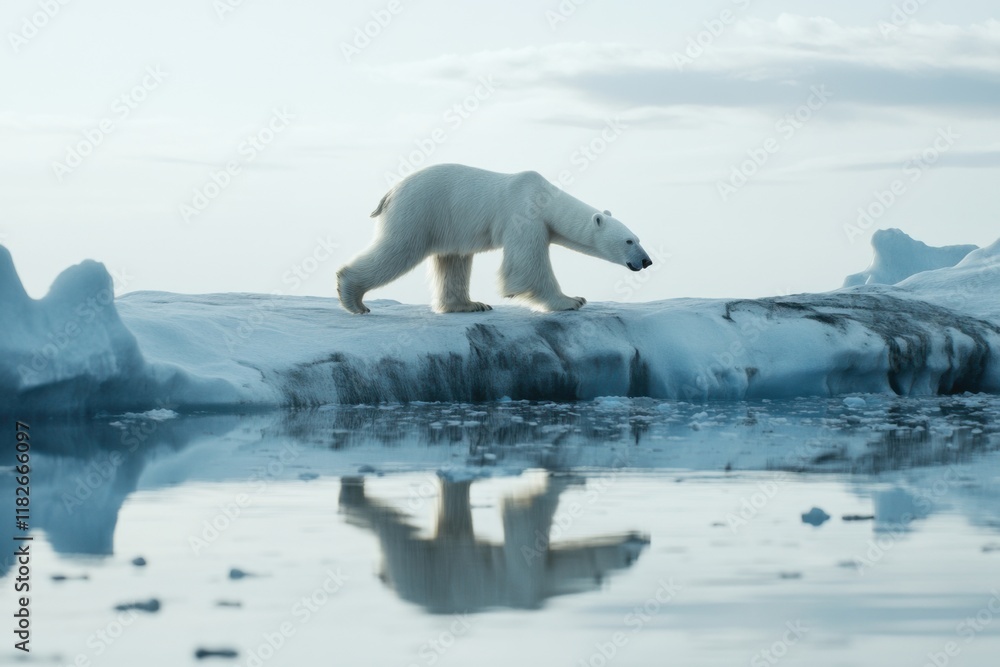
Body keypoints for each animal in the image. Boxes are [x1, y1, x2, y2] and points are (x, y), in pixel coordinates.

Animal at [336, 164, 652, 314]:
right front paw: (571, 300)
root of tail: (390, 193)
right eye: (629, 241)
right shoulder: (524, 215)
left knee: (452, 261)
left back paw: (469, 304)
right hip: (419, 211)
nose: (647, 261)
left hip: (447, 224)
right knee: (397, 249)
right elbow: (527, 265)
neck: (544, 196)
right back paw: (353, 297)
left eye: (638, 237)